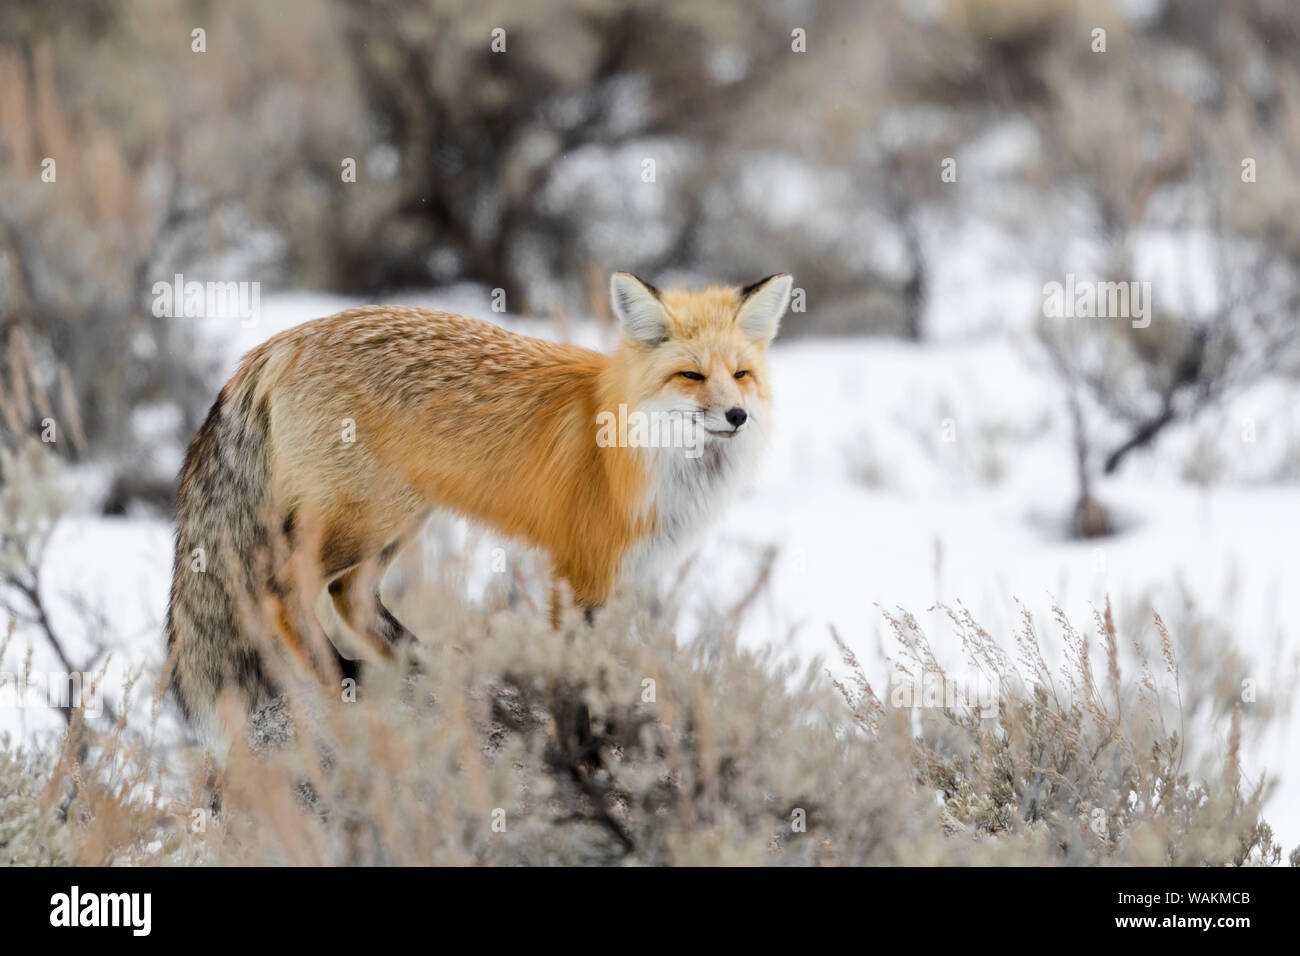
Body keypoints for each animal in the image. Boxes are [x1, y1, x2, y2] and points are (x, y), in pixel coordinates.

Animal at [165, 272, 792, 739]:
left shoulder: (614, 578)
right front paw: (586, 744)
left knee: (351, 595)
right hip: (366, 518)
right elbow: (577, 669)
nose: (737, 415)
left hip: (400, 518)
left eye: (741, 375)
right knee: (279, 585)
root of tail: (281, 339)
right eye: (691, 375)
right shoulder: (581, 568)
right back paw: (334, 675)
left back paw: (422, 662)